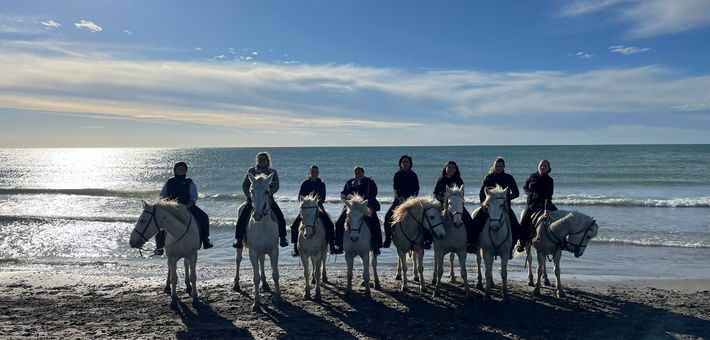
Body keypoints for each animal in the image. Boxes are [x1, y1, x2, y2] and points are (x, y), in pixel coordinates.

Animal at [232, 174, 280, 312]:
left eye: (267, 191)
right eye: (252, 191)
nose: (257, 216)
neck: (263, 226)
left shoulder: (274, 251)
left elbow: (275, 274)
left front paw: (278, 298)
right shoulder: (253, 253)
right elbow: (256, 278)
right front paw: (256, 303)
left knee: (262, 261)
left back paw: (265, 284)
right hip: (240, 247)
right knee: (238, 260)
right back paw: (236, 284)